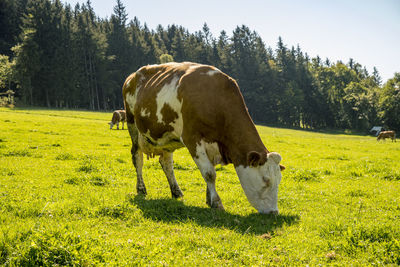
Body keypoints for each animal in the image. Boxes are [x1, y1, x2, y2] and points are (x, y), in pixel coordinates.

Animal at [123, 61, 286, 215]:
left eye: (279, 180)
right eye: (266, 180)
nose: (274, 212)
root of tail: (132, 76)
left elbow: (210, 170)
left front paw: (209, 199)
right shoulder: (192, 138)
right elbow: (209, 173)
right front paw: (217, 203)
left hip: (166, 138)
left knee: (167, 163)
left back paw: (176, 191)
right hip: (132, 124)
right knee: (137, 158)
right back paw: (141, 188)